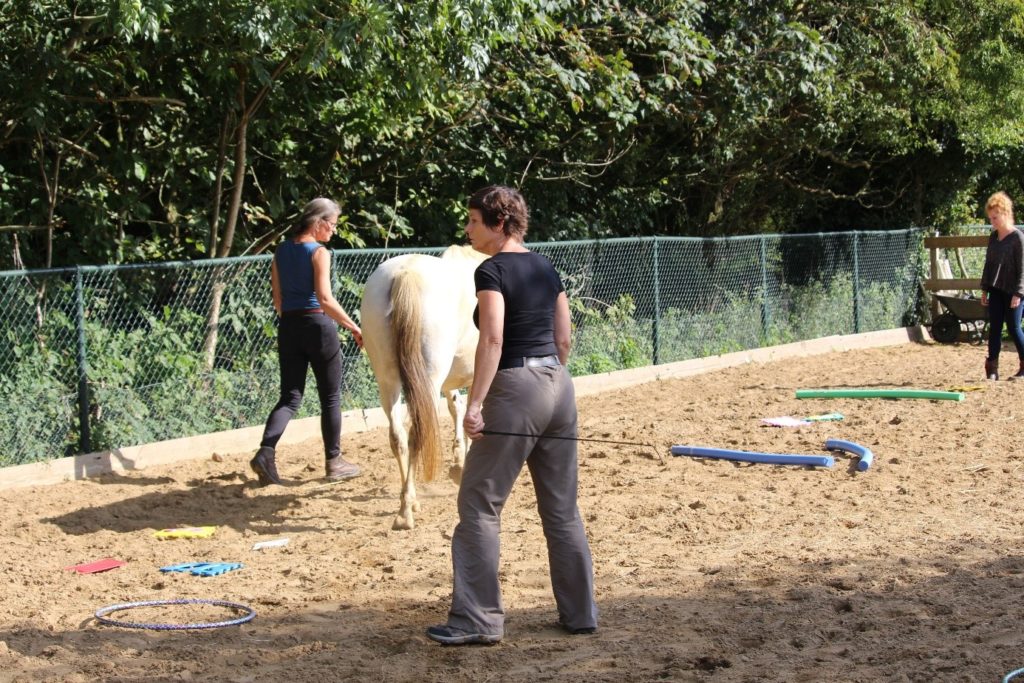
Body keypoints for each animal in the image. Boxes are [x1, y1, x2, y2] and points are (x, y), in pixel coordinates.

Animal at [360, 244, 487, 528]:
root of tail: (405, 273)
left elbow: (458, 409)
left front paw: (459, 463)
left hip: (388, 381)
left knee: (398, 436)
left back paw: (410, 501)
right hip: (428, 379)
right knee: (417, 432)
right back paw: (405, 511)